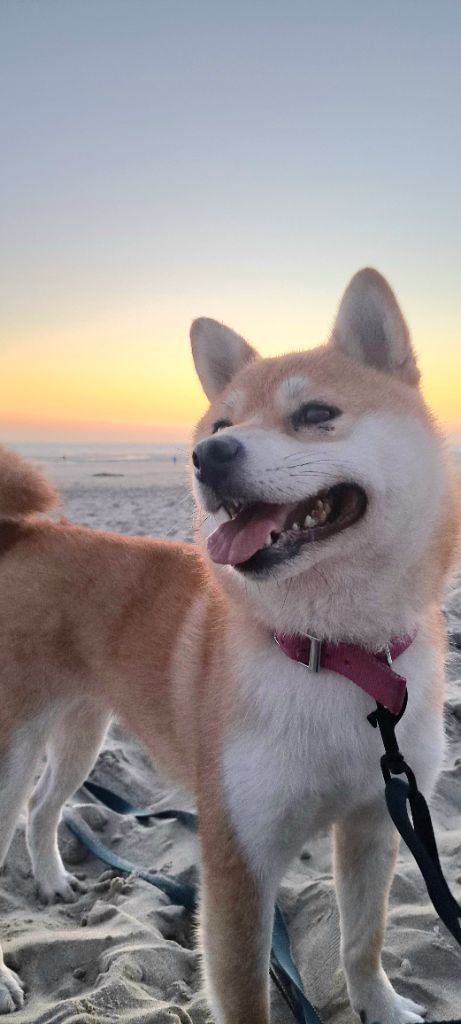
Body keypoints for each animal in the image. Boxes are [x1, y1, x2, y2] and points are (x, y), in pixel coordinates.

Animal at [0, 268, 458, 1022]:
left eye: (315, 414)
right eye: (221, 425)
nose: (206, 456)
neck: (331, 653)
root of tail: (28, 533)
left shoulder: (373, 819)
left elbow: (362, 941)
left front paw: (384, 1007)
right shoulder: (239, 855)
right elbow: (245, 993)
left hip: (82, 730)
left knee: (42, 810)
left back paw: (54, 883)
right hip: (13, 746)